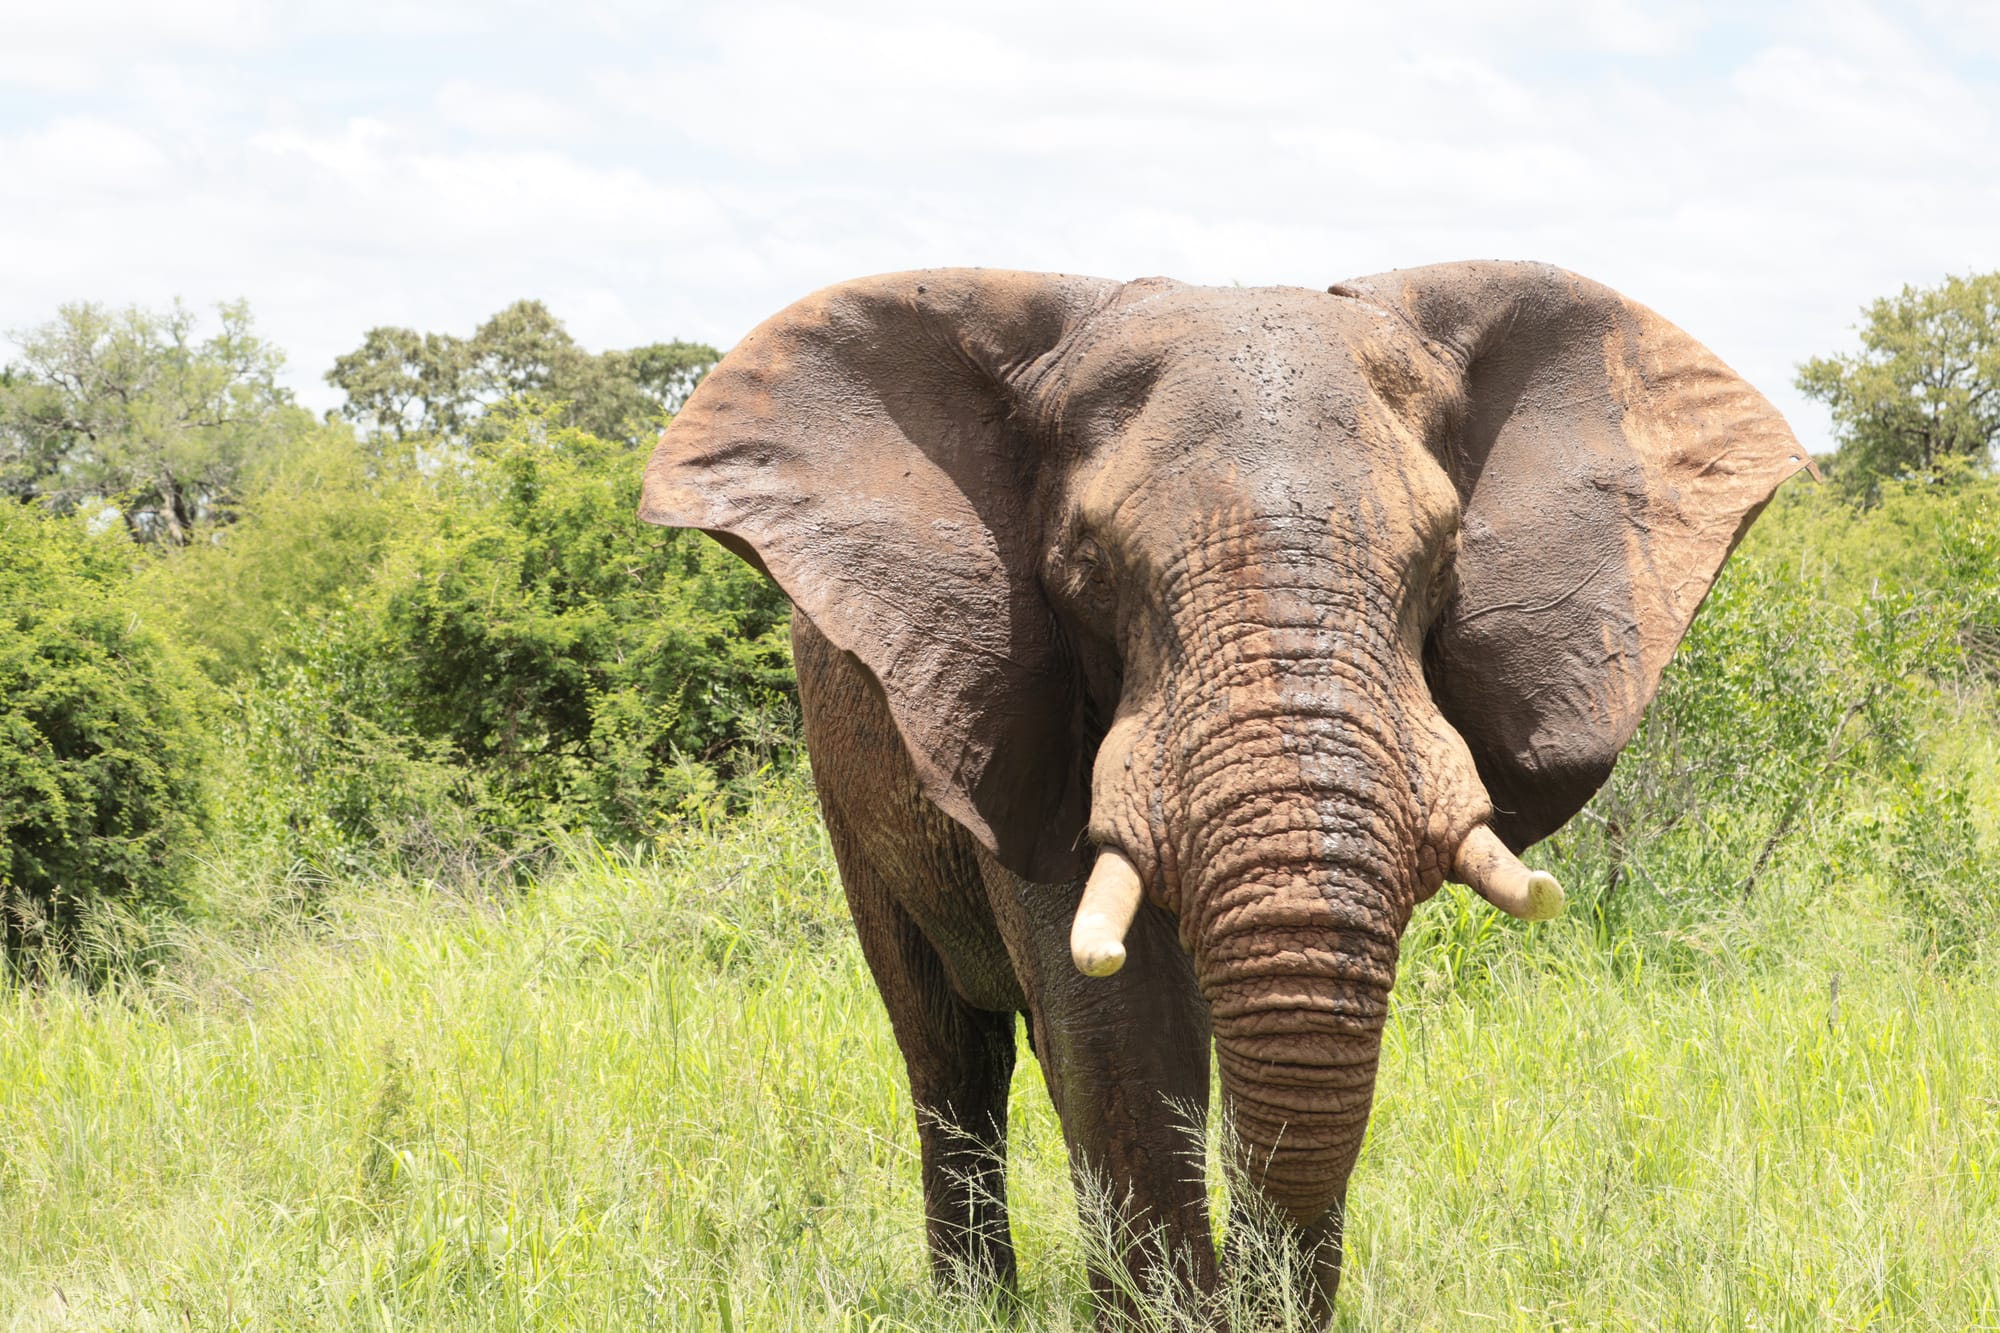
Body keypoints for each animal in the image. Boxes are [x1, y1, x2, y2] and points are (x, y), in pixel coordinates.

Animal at [644, 262, 1816, 1320]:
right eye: (1087, 565)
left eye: (1442, 560)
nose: (1253, 1301)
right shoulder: (1026, 710)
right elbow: (1116, 1027)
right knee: (947, 1050)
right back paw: (975, 1305)